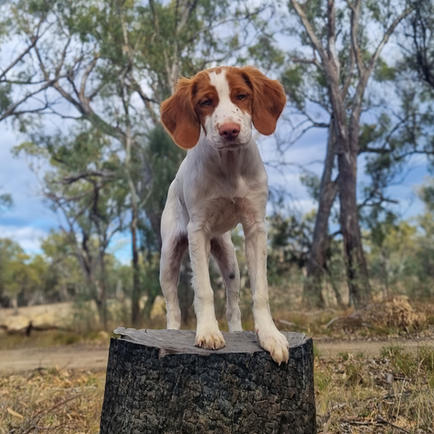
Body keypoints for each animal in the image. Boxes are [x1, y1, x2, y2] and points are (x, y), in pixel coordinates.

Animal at [159, 66, 289, 364]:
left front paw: (269, 335)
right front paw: (207, 331)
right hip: (169, 256)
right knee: (173, 305)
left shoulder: (255, 227)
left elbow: (260, 291)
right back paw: (171, 332)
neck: (229, 166)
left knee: (233, 304)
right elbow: (203, 290)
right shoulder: (197, 229)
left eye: (241, 96)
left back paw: (238, 330)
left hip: (229, 258)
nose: (229, 130)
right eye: (206, 102)